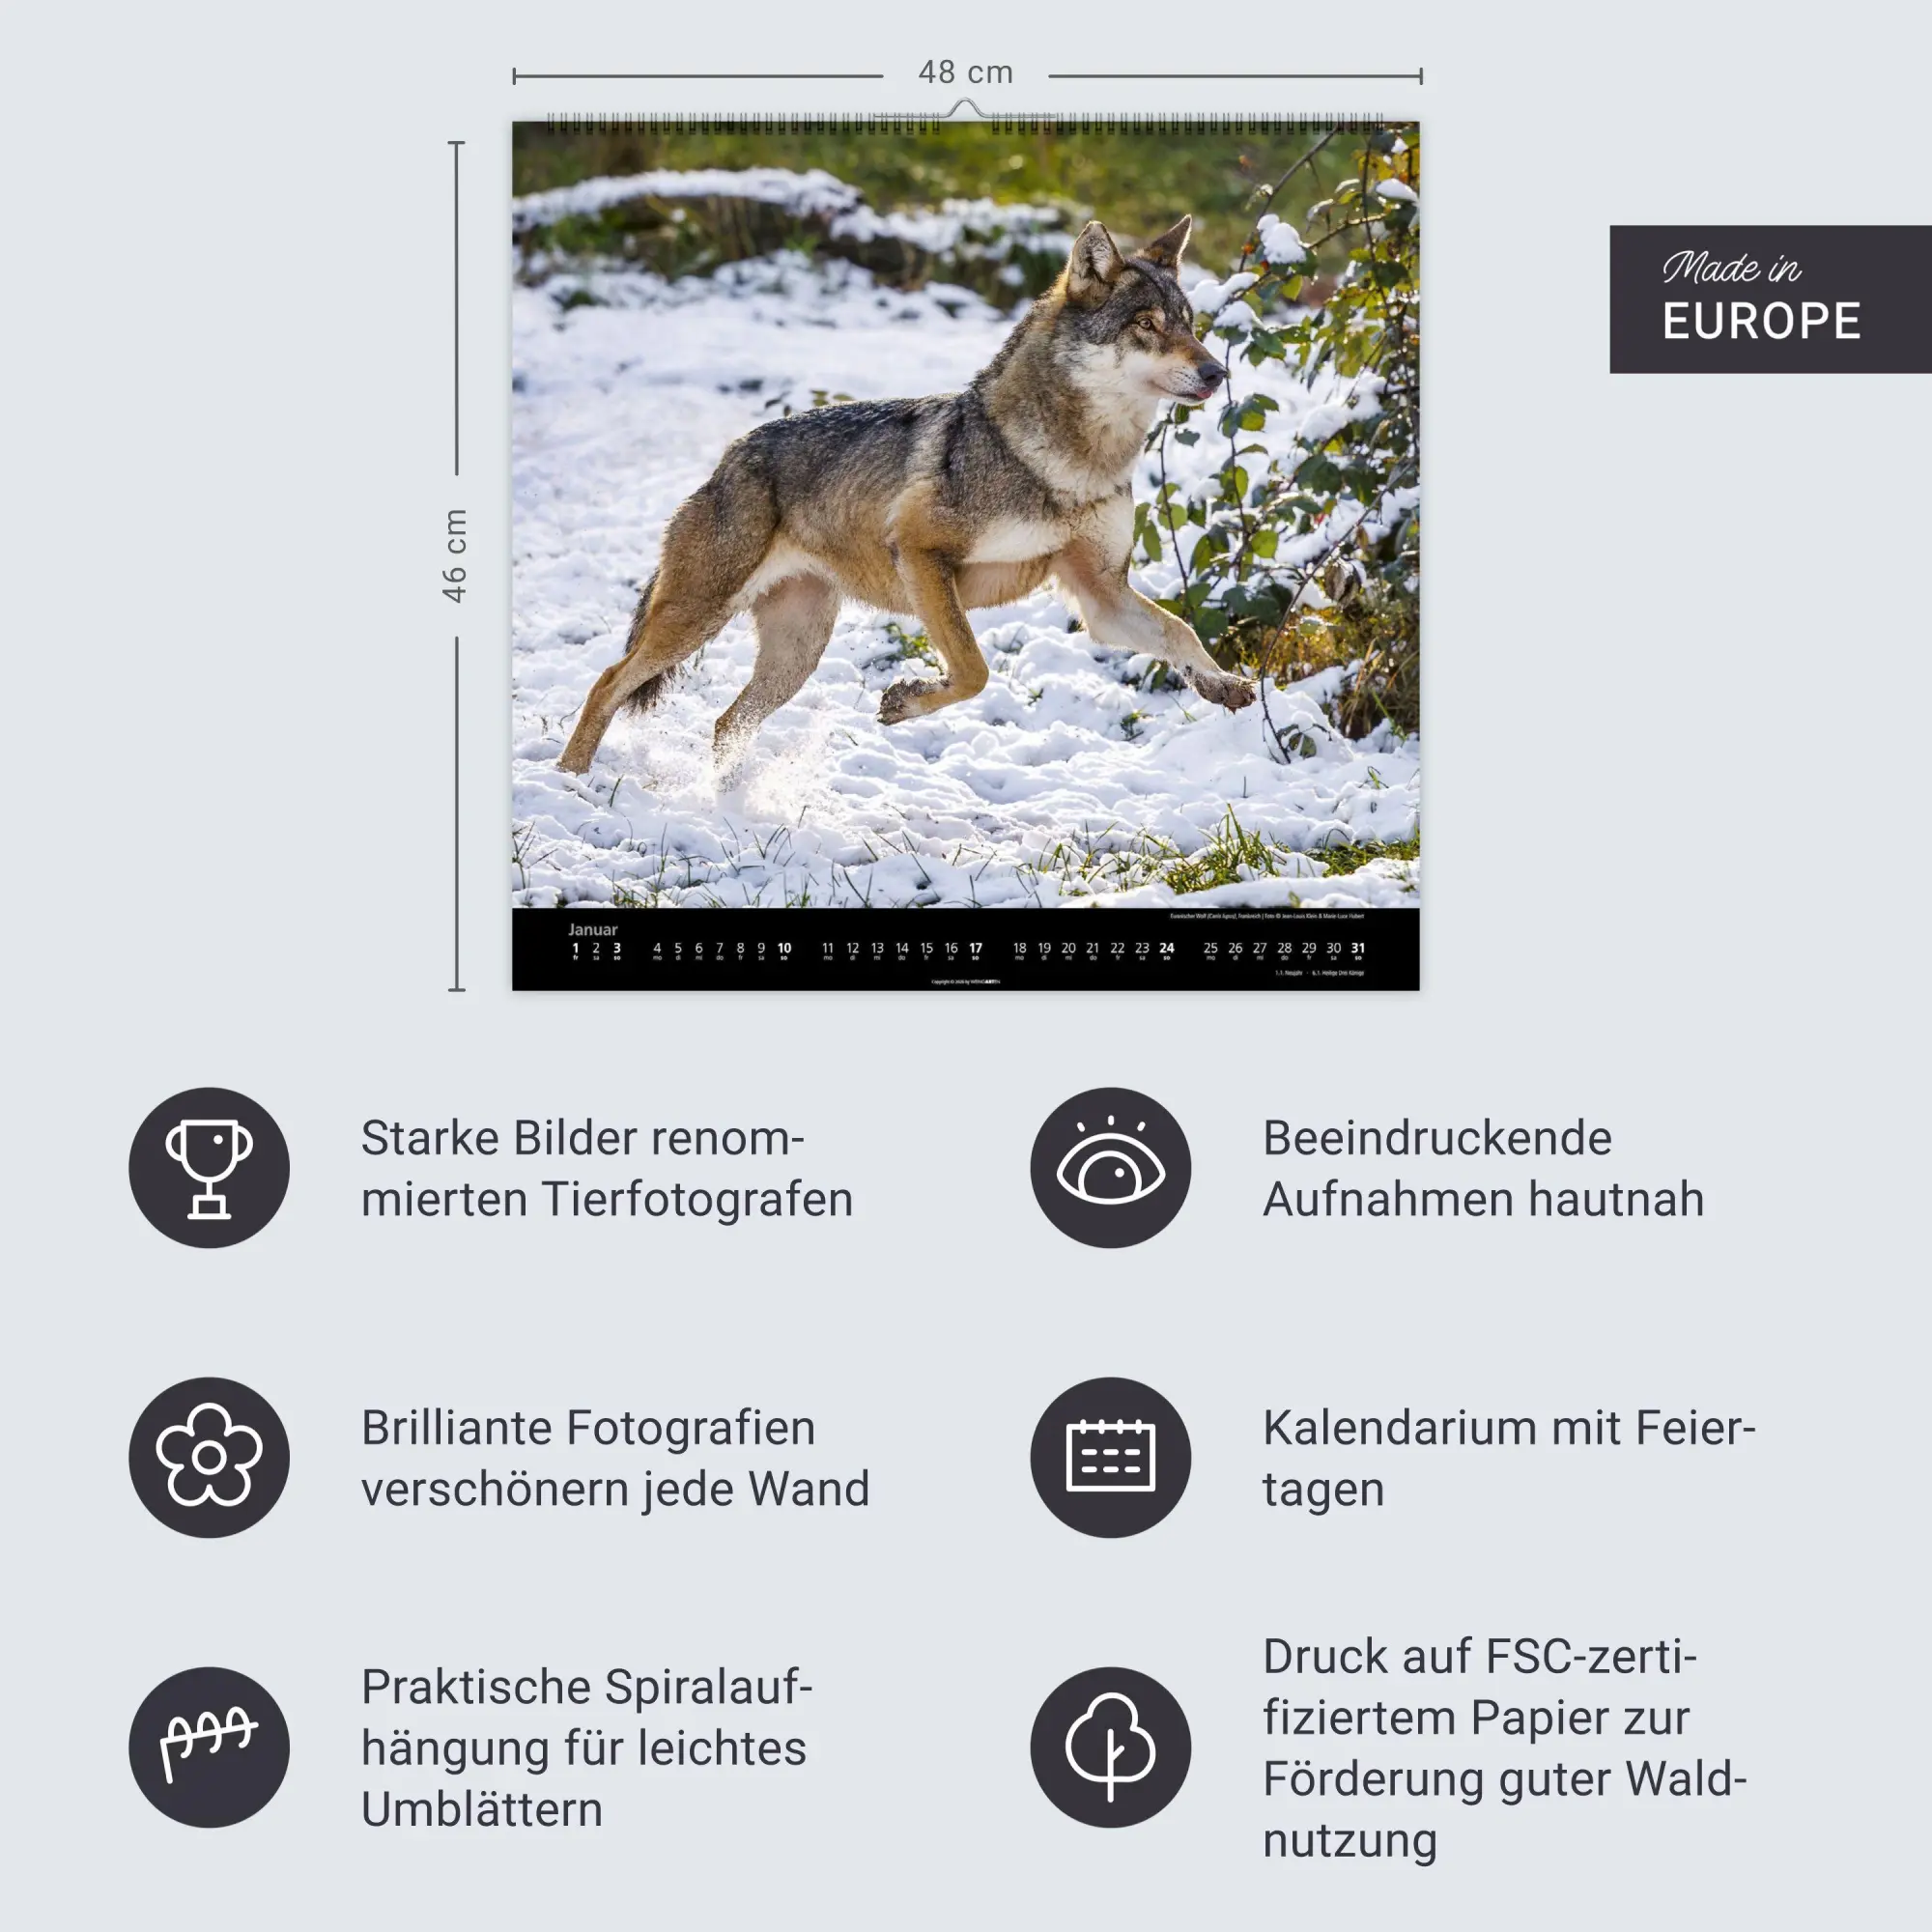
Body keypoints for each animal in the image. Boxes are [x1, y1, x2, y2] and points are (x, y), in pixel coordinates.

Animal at [557, 214, 1256, 776]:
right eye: (1147, 325)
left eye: (1191, 325)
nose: (1216, 371)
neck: (1071, 463)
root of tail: (730, 456)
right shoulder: (922, 554)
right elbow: (974, 670)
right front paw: (903, 701)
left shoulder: (1101, 596)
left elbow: (1179, 634)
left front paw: (1223, 684)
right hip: (698, 617)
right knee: (606, 683)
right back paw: (572, 781)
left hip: (795, 653)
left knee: (726, 722)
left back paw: (727, 803)